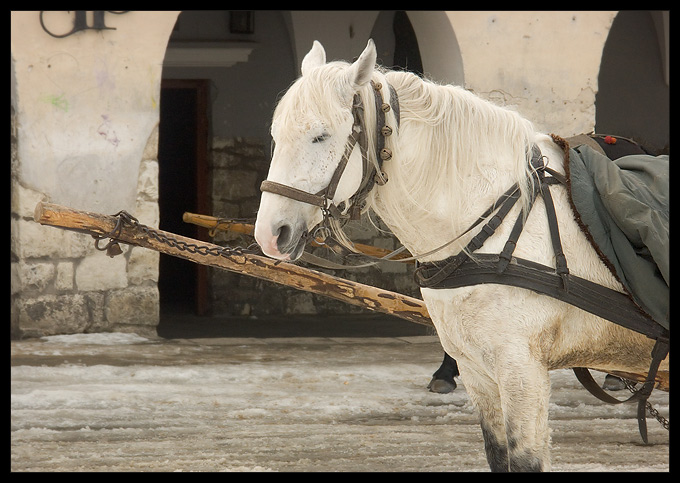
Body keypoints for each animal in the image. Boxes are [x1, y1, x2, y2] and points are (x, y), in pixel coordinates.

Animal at [252, 41, 668, 472]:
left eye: (320, 136)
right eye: (276, 135)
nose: (270, 234)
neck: (492, 220)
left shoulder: (522, 368)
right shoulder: (477, 368)